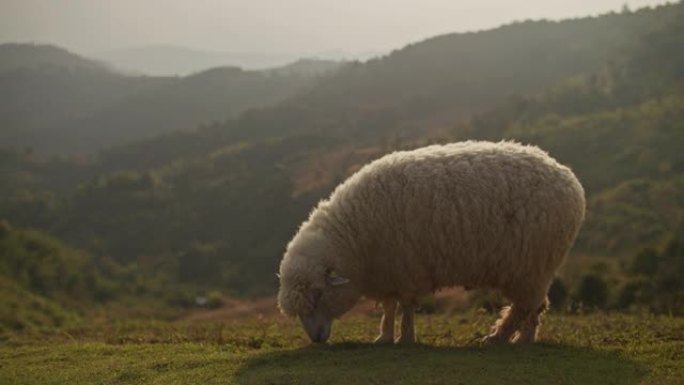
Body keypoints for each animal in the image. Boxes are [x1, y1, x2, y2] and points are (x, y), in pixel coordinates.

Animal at [276, 140, 584, 342]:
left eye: (318, 294)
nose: (316, 339)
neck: (353, 237)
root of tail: (570, 180)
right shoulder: (387, 272)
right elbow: (389, 307)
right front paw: (384, 337)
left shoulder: (406, 268)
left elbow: (406, 307)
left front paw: (406, 339)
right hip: (536, 269)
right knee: (535, 306)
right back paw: (521, 339)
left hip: (530, 266)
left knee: (525, 307)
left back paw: (502, 338)